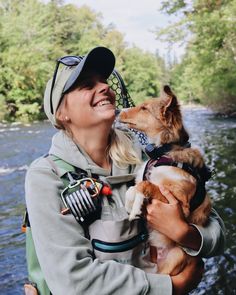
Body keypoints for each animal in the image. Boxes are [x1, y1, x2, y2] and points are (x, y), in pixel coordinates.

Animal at [119, 86, 211, 276]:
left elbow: (146, 184)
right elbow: (135, 187)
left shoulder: (180, 204)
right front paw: (132, 204)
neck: (163, 152)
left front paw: (134, 206)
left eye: (144, 108)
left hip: (176, 256)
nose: (118, 111)